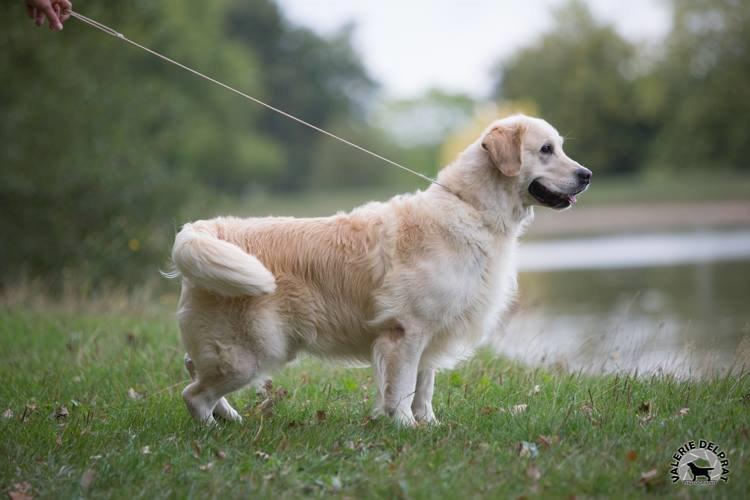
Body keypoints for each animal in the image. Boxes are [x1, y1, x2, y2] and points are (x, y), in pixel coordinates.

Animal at [170, 114, 592, 426]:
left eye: (561, 146)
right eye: (546, 149)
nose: (586, 175)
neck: (471, 207)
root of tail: (205, 227)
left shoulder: (430, 333)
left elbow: (425, 386)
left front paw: (429, 425)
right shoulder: (407, 330)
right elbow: (402, 386)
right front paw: (403, 425)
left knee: (193, 369)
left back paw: (230, 417)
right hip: (252, 351)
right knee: (193, 395)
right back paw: (211, 430)